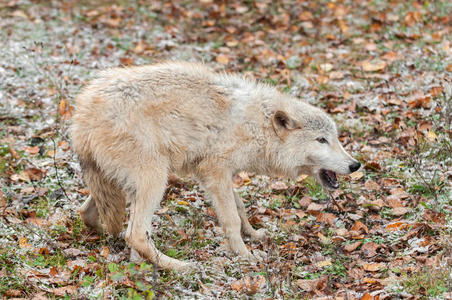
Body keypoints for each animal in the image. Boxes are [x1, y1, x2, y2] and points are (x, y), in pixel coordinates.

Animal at [70, 61, 360, 270]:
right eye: (321, 140)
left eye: (336, 138)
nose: (355, 165)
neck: (257, 124)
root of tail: (82, 111)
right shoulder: (215, 172)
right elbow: (231, 218)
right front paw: (245, 255)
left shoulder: (216, 175)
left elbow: (240, 208)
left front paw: (253, 234)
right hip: (155, 179)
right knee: (136, 233)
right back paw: (180, 267)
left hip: (119, 185)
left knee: (91, 215)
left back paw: (127, 251)